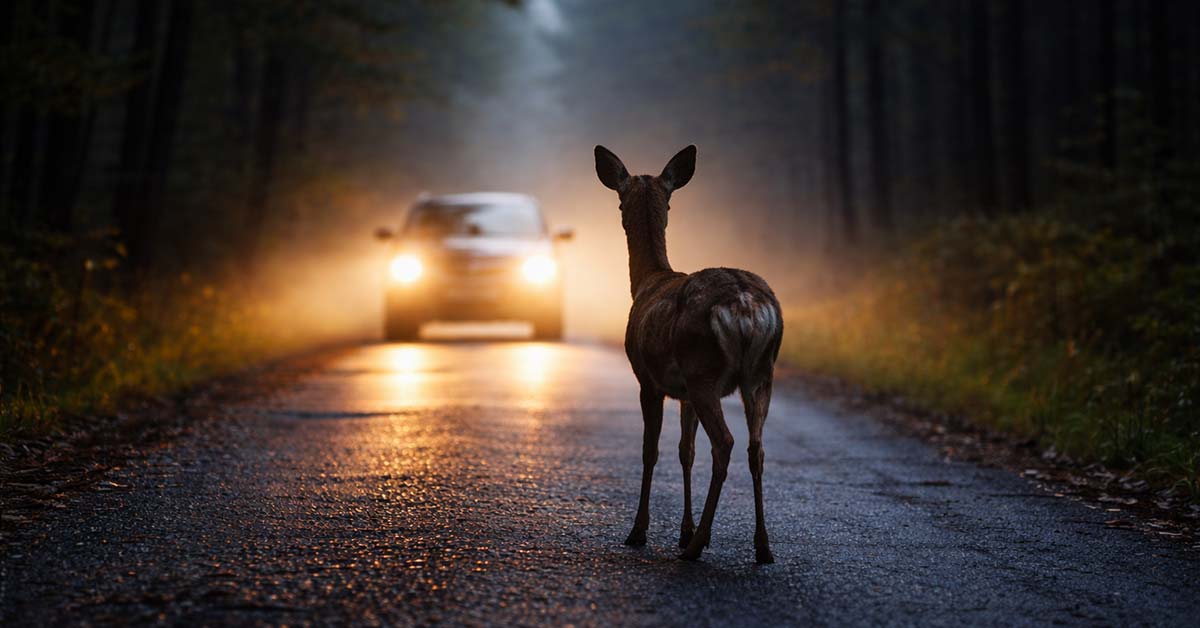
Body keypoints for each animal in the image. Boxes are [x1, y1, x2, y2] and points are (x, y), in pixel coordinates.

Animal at [594, 144, 783, 564]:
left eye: (619, 201)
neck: (647, 282)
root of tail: (746, 305)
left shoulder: (648, 380)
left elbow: (650, 451)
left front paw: (640, 531)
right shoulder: (682, 393)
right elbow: (685, 451)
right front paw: (683, 530)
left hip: (704, 370)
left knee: (725, 443)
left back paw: (698, 547)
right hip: (760, 373)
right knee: (756, 448)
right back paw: (761, 547)